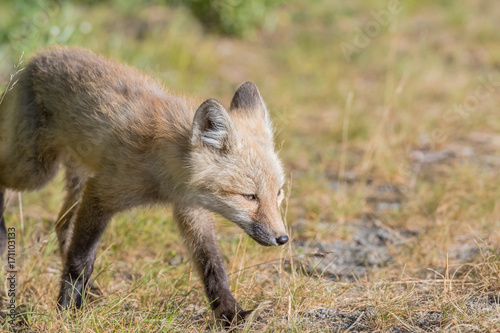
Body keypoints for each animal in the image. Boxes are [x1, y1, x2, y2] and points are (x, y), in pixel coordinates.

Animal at [0, 46, 290, 324]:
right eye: (249, 196)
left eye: (278, 193)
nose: (283, 238)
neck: (165, 174)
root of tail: (39, 56)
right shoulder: (101, 194)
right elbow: (81, 260)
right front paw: (67, 309)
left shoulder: (190, 210)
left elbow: (213, 266)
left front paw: (230, 313)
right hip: (37, 171)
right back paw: (4, 237)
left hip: (74, 177)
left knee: (61, 224)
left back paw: (90, 289)